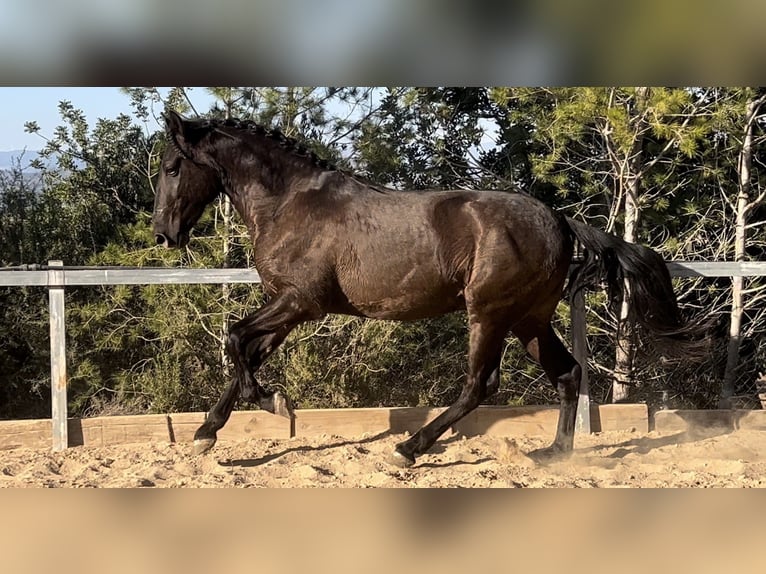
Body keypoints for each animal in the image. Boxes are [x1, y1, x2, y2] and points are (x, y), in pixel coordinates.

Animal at [154, 111, 708, 468]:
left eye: (172, 167)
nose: (164, 233)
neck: (290, 203)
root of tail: (560, 220)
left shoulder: (300, 303)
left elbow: (235, 339)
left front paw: (271, 403)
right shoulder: (288, 308)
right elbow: (245, 349)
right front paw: (207, 433)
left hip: (489, 312)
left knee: (480, 385)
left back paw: (409, 449)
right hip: (529, 319)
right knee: (568, 374)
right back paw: (554, 453)